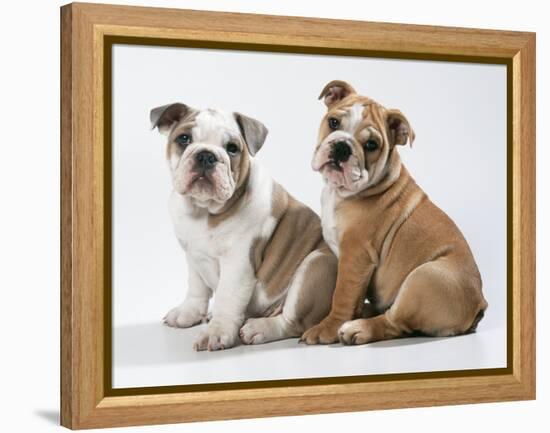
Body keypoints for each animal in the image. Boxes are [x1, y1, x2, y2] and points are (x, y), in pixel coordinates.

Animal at [153, 103, 338, 350]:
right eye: (184, 139)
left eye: (232, 148)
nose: (206, 155)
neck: (203, 211)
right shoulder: (192, 255)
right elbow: (196, 287)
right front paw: (188, 313)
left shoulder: (238, 263)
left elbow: (226, 297)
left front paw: (217, 331)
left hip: (317, 264)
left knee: (293, 322)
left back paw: (259, 328)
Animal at [302, 80, 492, 344]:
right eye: (333, 122)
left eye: (371, 145)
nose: (342, 147)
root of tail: (480, 302)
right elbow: (353, 296)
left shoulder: (355, 255)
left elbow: (342, 295)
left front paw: (327, 328)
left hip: (423, 279)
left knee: (394, 322)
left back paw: (358, 328)